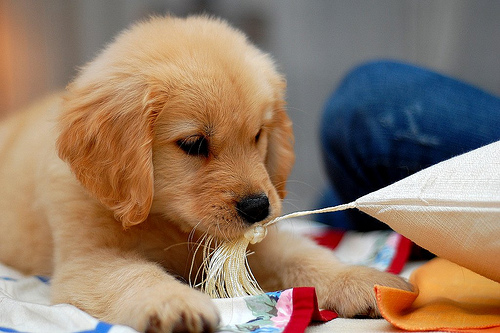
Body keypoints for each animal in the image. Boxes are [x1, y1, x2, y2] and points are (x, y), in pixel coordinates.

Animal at [0, 14, 410, 332]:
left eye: (257, 135)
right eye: (194, 143)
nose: (258, 208)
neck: (168, 222)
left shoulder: (252, 244)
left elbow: (301, 256)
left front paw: (360, 279)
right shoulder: (87, 260)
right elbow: (134, 275)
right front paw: (172, 303)